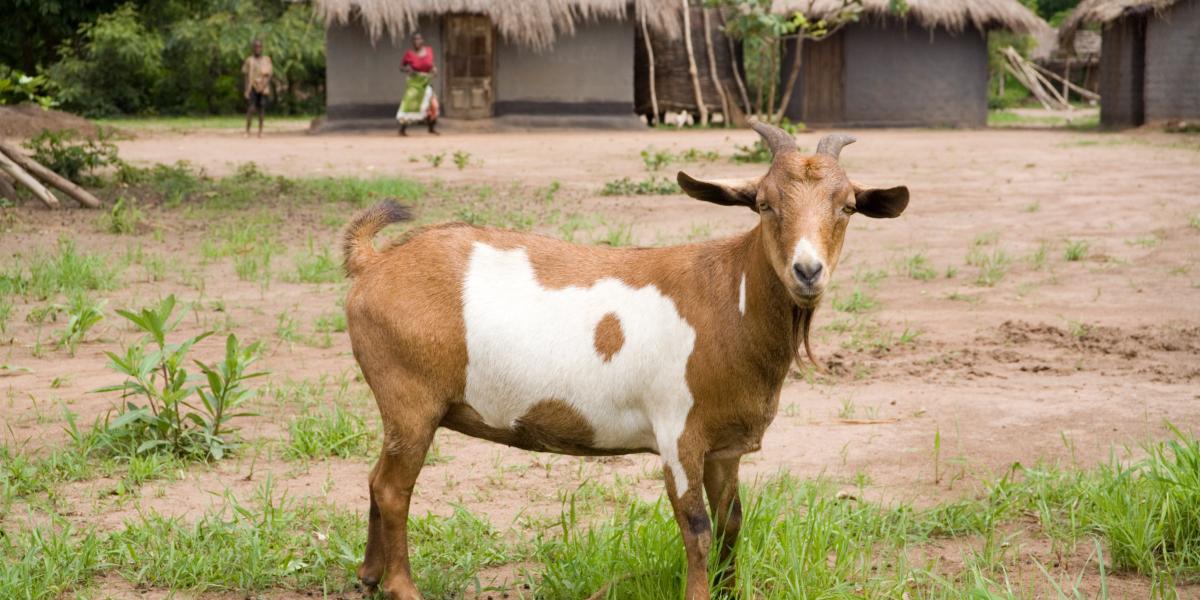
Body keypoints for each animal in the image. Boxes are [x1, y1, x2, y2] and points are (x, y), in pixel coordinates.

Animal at [342, 121, 909, 599]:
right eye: (764, 204)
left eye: (848, 206)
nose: (807, 270)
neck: (729, 297)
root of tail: (375, 262)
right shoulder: (678, 432)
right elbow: (697, 528)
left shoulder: (724, 447)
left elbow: (732, 522)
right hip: (410, 398)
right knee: (393, 488)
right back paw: (401, 587)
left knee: (375, 476)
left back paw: (368, 575)